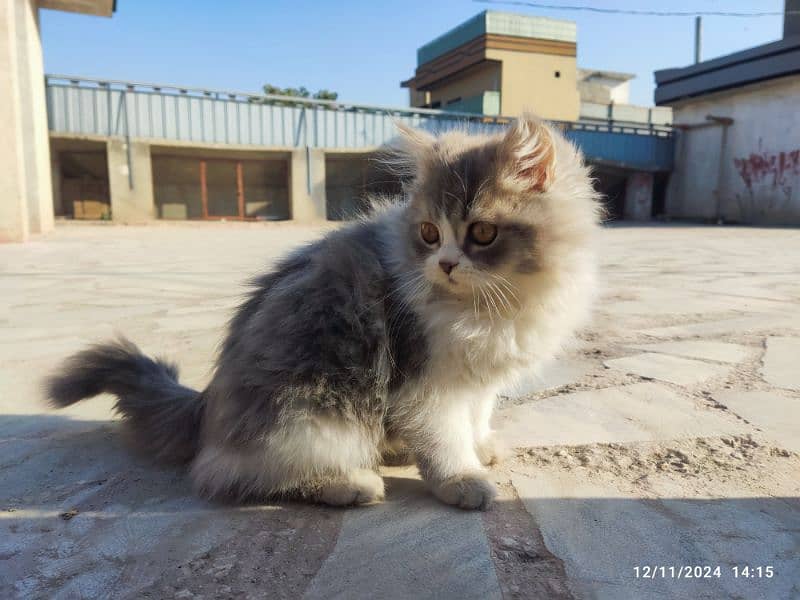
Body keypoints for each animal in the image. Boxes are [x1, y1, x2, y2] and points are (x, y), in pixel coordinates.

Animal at [47, 113, 600, 510]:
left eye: (482, 233)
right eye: (428, 233)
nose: (444, 264)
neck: (491, 305)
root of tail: (207, 404)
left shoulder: (479, 377)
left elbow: (477, 414)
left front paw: (481, 445)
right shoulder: (427, 382)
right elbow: (444, 438)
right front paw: (463, 479)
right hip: (309, 418)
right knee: (235, 474)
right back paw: (351, 485)